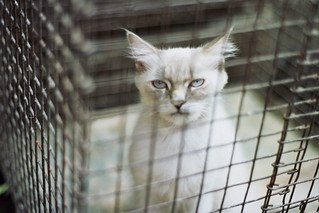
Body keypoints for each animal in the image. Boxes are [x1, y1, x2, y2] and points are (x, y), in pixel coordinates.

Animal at [125, 28, 240, 213]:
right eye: (159, 84)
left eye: (196, 83)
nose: (178, 103)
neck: (178, 138)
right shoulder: (149, 196)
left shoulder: (200, 195)